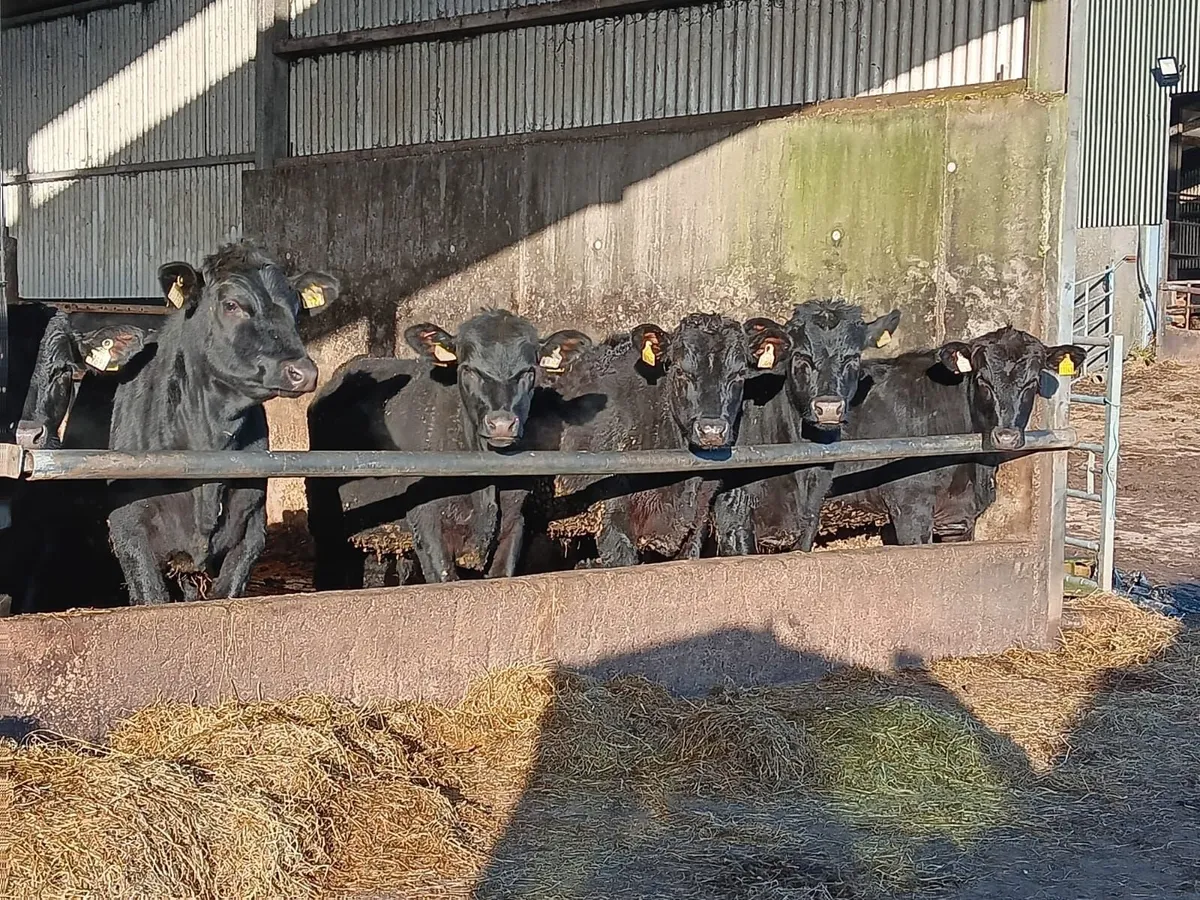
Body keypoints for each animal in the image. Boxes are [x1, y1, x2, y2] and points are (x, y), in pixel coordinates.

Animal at [105, 241, 340, 604]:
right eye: (232, 304)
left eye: (296, 309)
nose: (303, 372)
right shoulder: (128, 528)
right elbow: (151, 598)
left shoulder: (251, 529)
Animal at [305, 308, 591, 587]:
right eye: (468, 369)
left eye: (529, 371)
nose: (501, 424)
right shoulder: (427, 524)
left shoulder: (515, 522)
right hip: (326, 520)